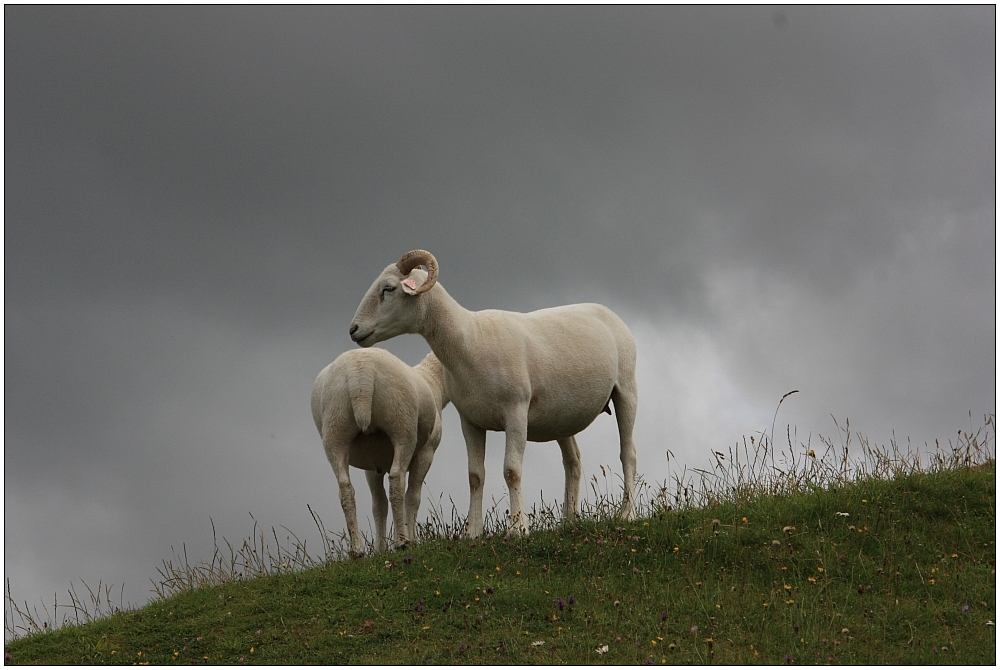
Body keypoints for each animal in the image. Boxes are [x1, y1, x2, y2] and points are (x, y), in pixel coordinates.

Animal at [308, 346, 450, 556]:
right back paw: (402, 542)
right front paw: (411, 540)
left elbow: (379, 505)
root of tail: (359, 372)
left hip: (335, 428)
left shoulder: (372, 465)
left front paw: (380, 549)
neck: (433, 380)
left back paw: (357, 550)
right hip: (401, 423)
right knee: (397, 481)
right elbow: (413, 497)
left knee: (345, 488)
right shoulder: (426, 452)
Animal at [348, 249, 636, 540]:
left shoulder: (516, 412)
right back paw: (568, 520)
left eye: (388, 288)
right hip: (562, 416)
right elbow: (475, 476)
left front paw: (518, 528)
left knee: (628, 453)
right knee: (573, 462)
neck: (470, 341)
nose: (353, 330)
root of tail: (605, 311)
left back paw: (627, 513)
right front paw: (472, 532)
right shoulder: (470, 421)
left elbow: (512, 471)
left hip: (626, 389)